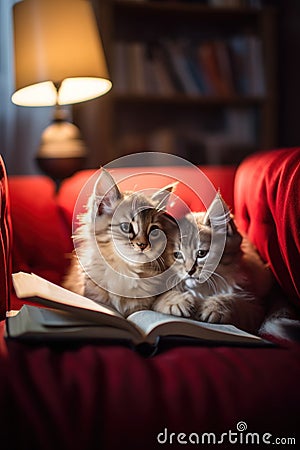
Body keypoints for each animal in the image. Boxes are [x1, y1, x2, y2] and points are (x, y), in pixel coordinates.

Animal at [154, 193, 274, 334]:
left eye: (201, 253)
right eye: (177, 255)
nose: (189, 271)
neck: (203, 289)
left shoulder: (257, 308)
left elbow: (234, 301)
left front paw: (215, 307)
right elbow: (164, 296)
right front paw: (177, 300)